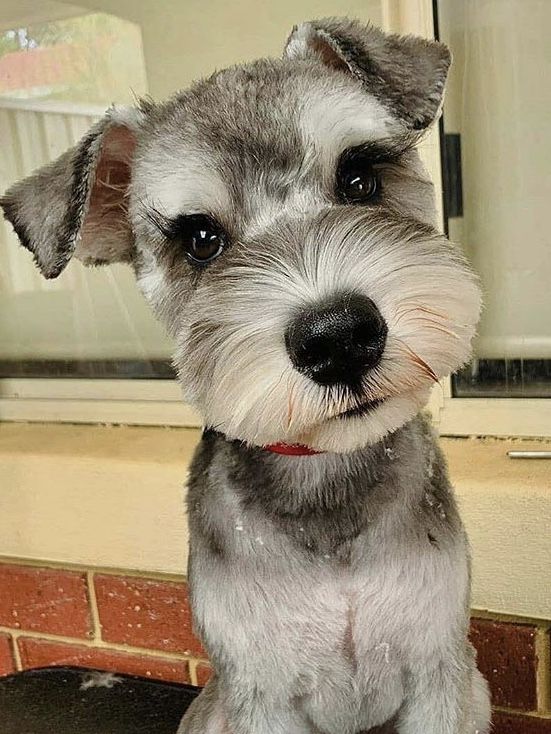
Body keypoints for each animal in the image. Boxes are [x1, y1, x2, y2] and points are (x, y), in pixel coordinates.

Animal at [1, 17, 492, 734]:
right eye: (200, 240)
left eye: (359, 177)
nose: (337, 337)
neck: (323, 481)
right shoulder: (259, 696)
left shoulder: (441, 675)